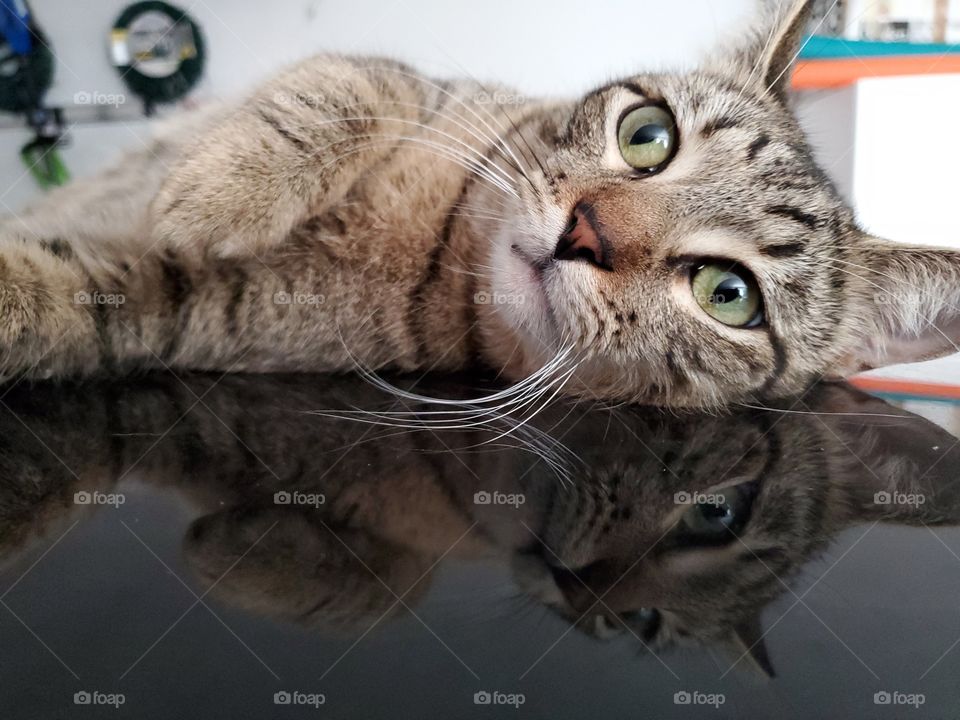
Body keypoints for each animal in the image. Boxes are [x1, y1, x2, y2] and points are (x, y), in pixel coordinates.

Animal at [1, 0, 960, 404]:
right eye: (647, 134)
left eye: (729, 296)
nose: (586, 232)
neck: (438, 249)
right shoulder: (419, 94)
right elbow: (350, 85)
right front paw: (223, 185)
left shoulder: (167, 303)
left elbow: (54, 297)